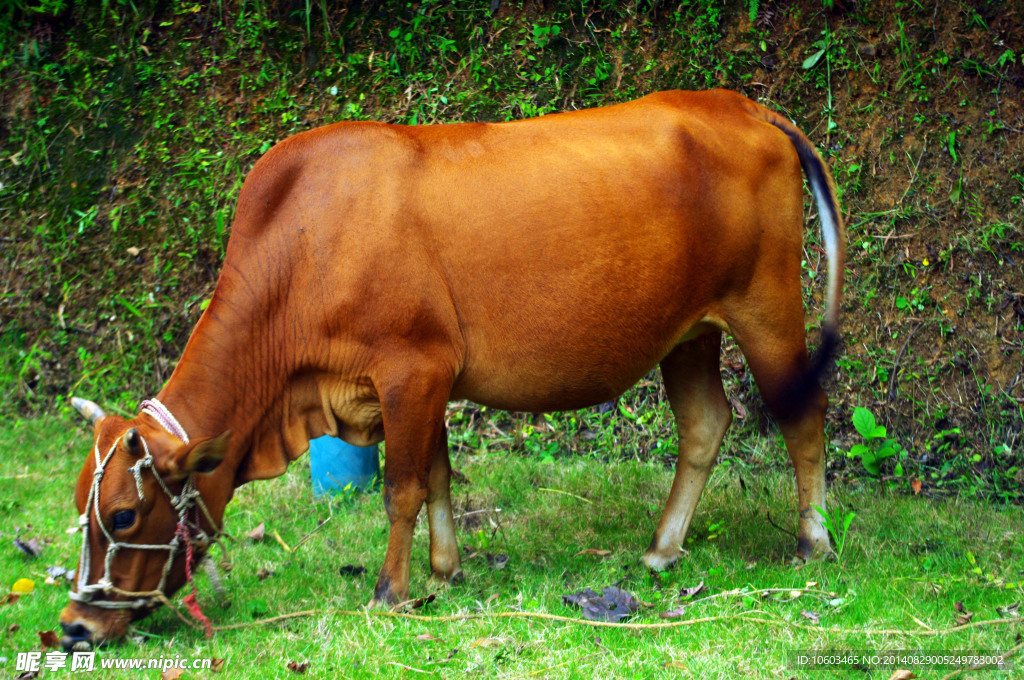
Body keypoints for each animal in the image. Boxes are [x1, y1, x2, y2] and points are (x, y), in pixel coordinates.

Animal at [61, 90, 847, 647]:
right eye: (79, 509)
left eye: (123, 513)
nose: (75, 626)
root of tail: (744, 104)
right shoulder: (420, 382)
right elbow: (437, 475)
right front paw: (445, 570)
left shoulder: (412, 368)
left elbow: (402, 487)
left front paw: (391, 591)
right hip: (687, 334)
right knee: (707, 423)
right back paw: (661, 551)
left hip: (767, 305)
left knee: (803, 415)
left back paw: (813, 541)